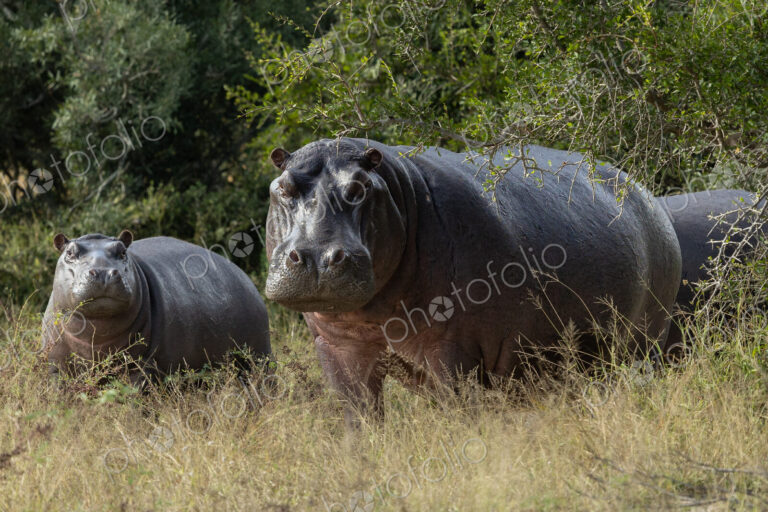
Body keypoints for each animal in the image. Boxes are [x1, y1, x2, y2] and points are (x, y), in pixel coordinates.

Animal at [42, 231, 271, 381]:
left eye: (122, 252)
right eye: (70, 253)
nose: (103, 272)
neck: (95, 338)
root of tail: (245, 277)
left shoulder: (140, 369)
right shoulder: (54, 368)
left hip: (260, 357)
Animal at [264, 138, 682, 416]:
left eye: (359, 188)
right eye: (281, 188)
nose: (318, 256)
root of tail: (643, 190)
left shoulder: (451, 348)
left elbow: (458, 408)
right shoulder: (336, 346)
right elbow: (358, 414)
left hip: (642, 344)